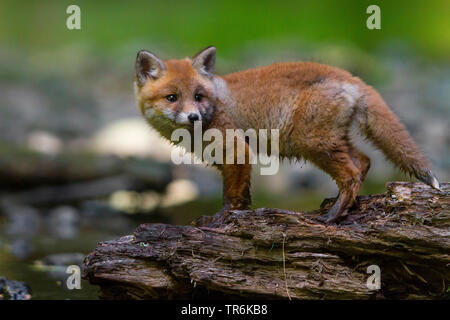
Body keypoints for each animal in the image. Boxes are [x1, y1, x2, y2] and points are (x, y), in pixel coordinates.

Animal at [134, 46, 440, 222]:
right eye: (172, 97)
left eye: (198, 96)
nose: (194, 116)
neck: (216, 105)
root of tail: (350, 76)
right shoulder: (230, 160)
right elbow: (244, 194)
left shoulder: (237, 151)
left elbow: (231, 196)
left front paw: (222, 219)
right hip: (330, 140)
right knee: (364, 161)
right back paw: (342, 205)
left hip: (311, 142)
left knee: (352, 173)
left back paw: (333, 217)